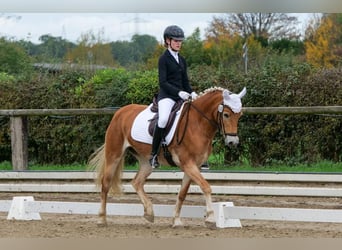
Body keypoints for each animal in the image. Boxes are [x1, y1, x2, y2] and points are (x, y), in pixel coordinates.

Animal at [89, 86, 246, 229]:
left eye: (240, 115)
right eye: (226, 114)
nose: (233, 142)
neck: (198, 123)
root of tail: (120, 112)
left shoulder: (193, 166)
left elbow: (182, 194)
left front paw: (176, 221)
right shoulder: (188, 164)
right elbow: (206, 187)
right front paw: (211, 219)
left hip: (146, 162)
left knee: (137, 182)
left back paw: (149, 213)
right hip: (114, 155)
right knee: (105, 184)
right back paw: (101, 219)